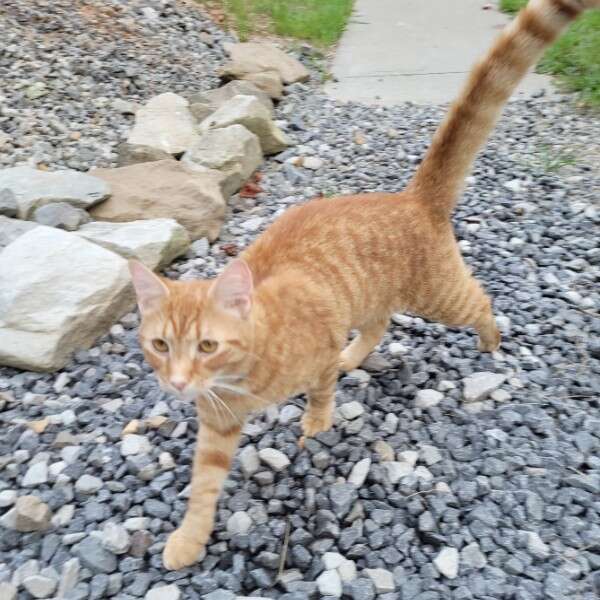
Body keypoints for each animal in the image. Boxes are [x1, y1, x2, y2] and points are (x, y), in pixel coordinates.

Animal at [129, 0, 596, 568]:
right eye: (160, 345)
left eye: (207, 346)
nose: (176, 383)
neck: (242, 375)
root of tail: (411, 198)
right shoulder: (216, 426)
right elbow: (203, 488)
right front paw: (190, 539)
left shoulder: (314, 354)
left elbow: (322, 392)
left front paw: (317, 422)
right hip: (374, 295)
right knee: (378, 324)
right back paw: (356, 355)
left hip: (439, 296)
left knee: (480, 300)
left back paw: (489, 341)